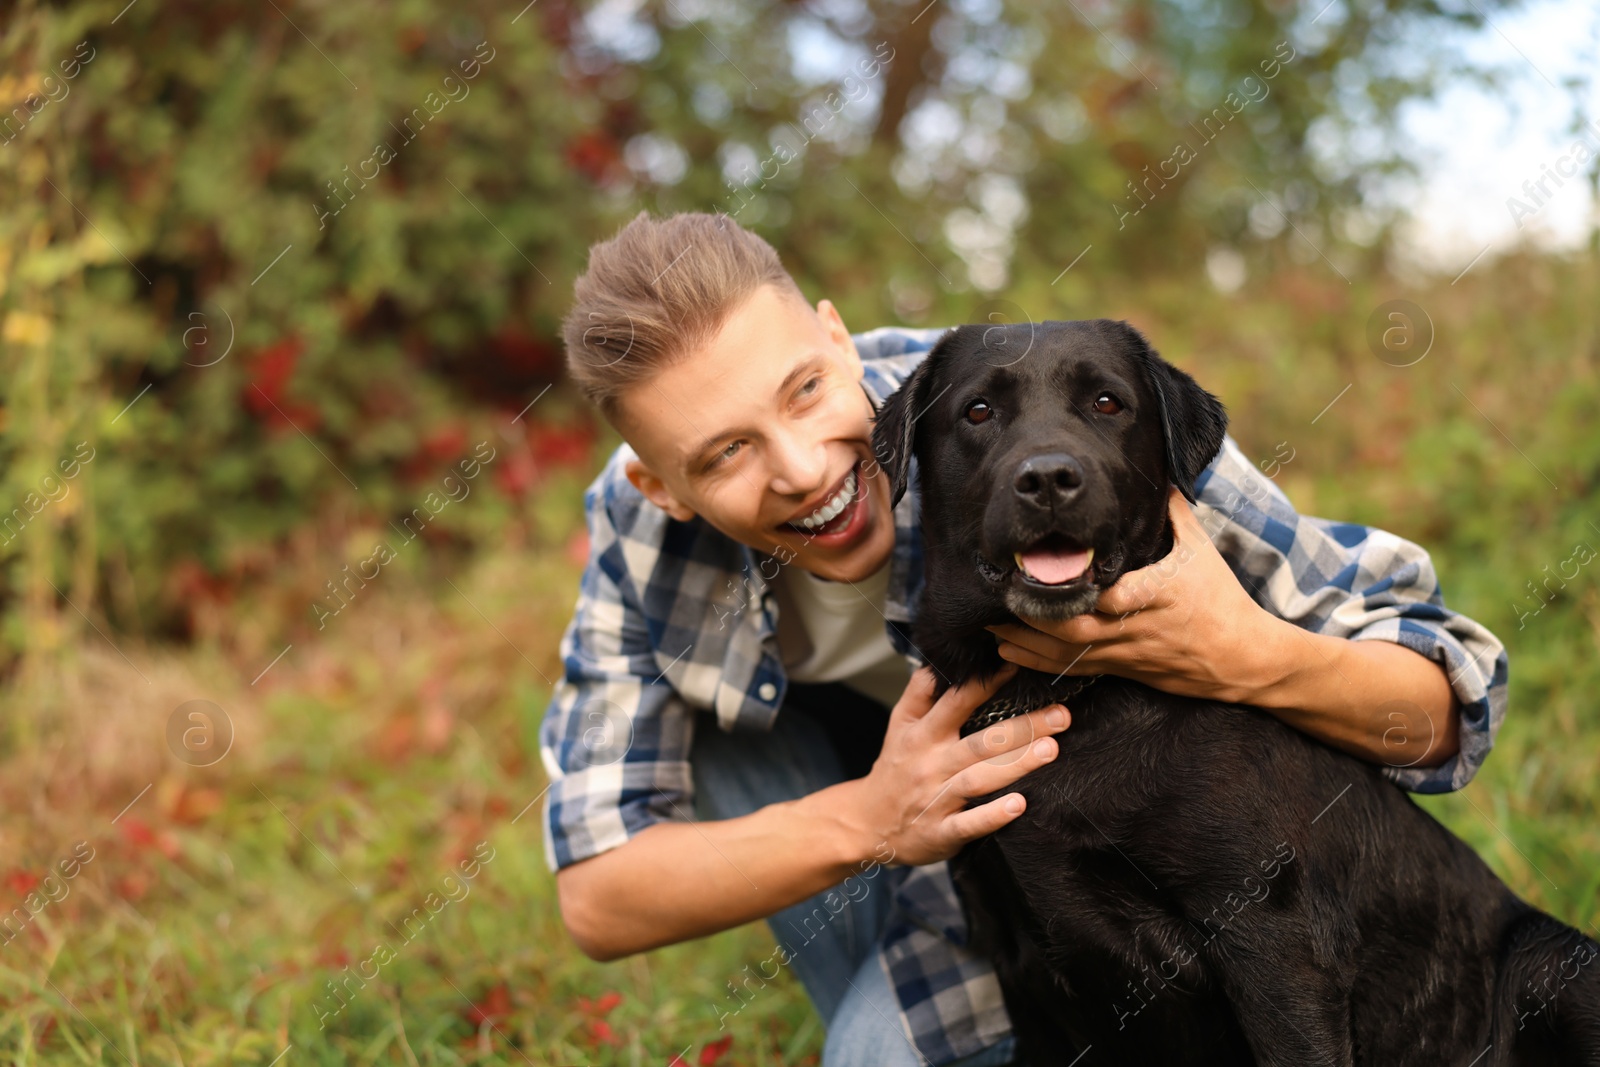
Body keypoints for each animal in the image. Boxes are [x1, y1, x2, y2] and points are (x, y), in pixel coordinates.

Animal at [876, 321, 1600, 1067]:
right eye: (978, 411)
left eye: (1108, 402)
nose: (1048, 478)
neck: (1065, 693)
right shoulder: (1027, 980)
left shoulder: (1273, 942)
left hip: (1554, 960)